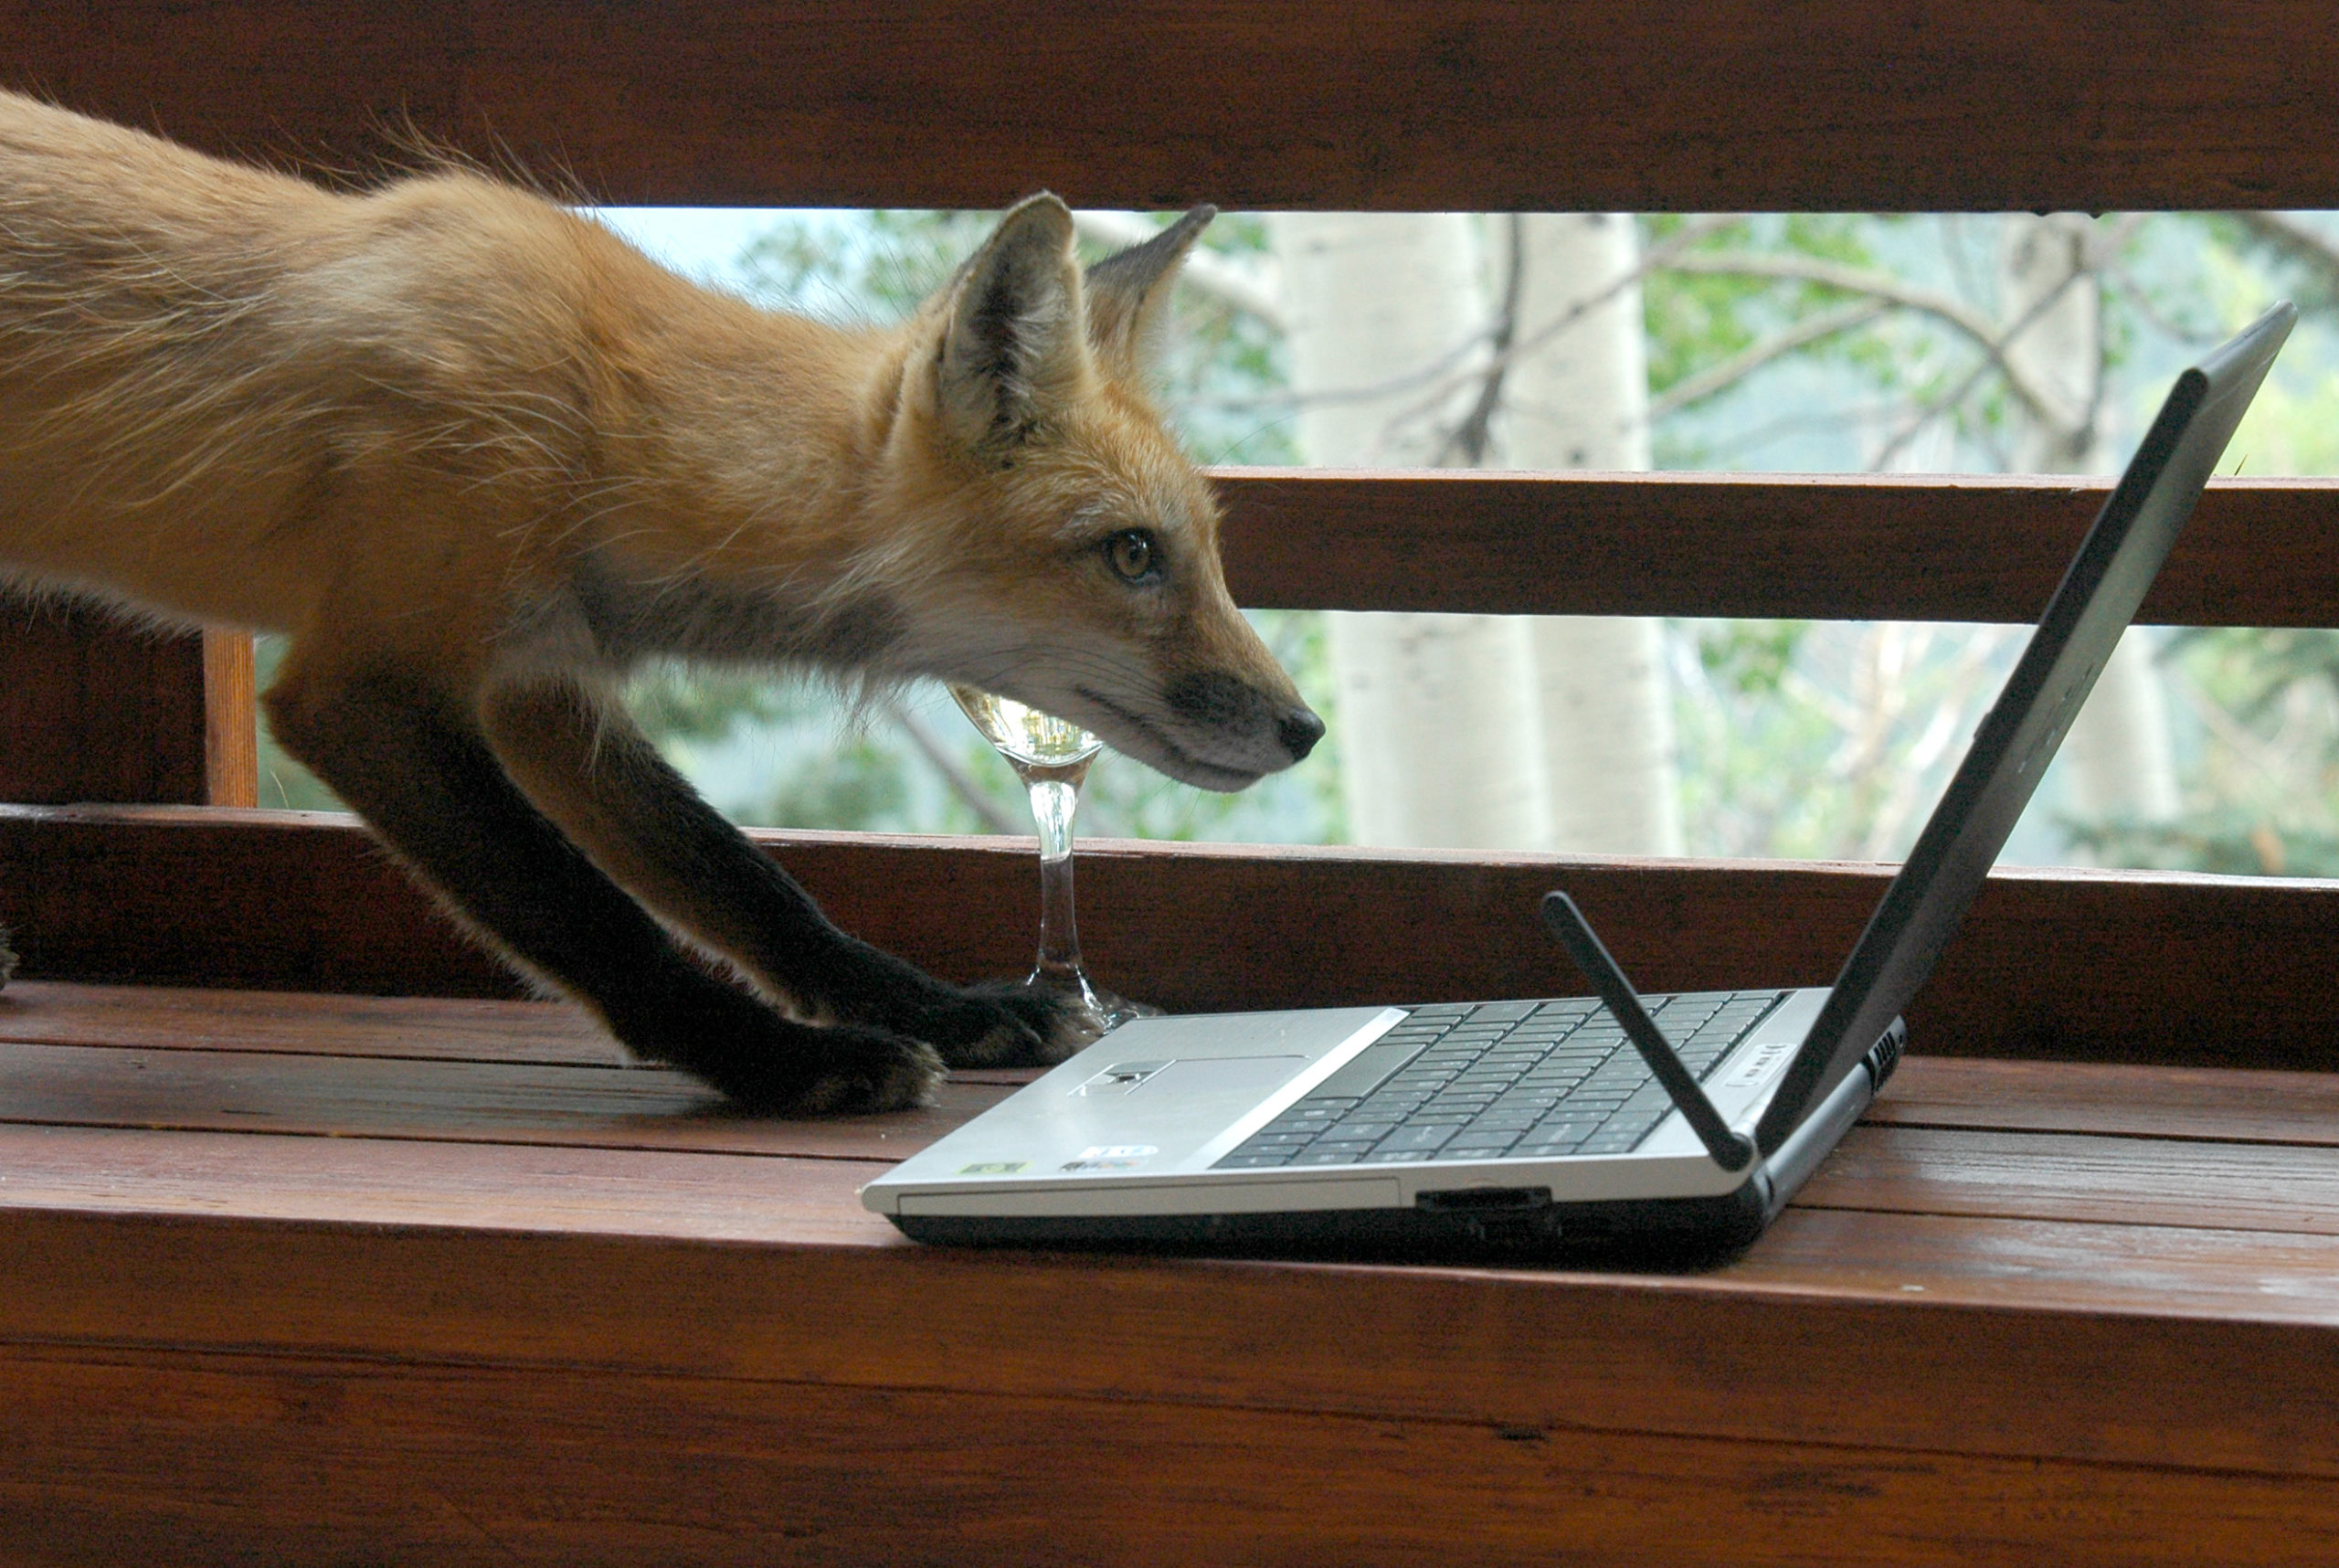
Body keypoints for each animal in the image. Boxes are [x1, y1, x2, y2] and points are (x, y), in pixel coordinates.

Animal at [0, 89, 1318, 1118]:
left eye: (1206, 551)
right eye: (1133, 556)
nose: (1304, 730)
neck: (606, 426)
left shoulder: (541, 683)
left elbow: (742, 880)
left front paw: (946, 1008)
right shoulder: (363, 686)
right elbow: (589, 918)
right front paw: (784, 1064)